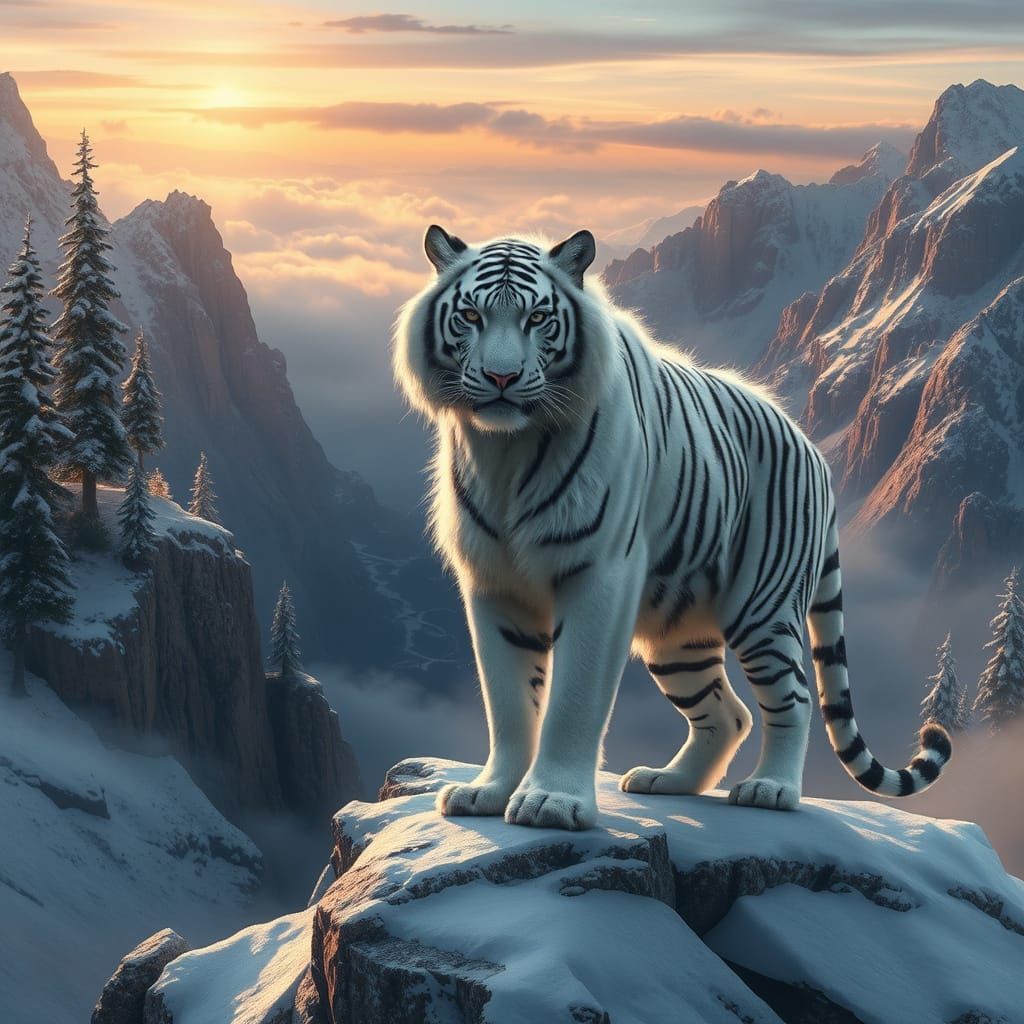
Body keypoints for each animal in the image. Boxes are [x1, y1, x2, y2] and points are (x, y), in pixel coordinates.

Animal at [392, 224, 951, 831]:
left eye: (537, 318)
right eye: (470, 315)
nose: (501, 377)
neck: (505, 453)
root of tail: (813, 450)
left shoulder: (599, 575)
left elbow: (573, 698)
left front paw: (552, 802)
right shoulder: (494, 585)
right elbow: (509, 702)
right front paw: (490, 792)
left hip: (763, 609)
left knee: (794, 697)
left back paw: (771, 788)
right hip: (678, 631)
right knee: (728, 714)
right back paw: (668, 780)